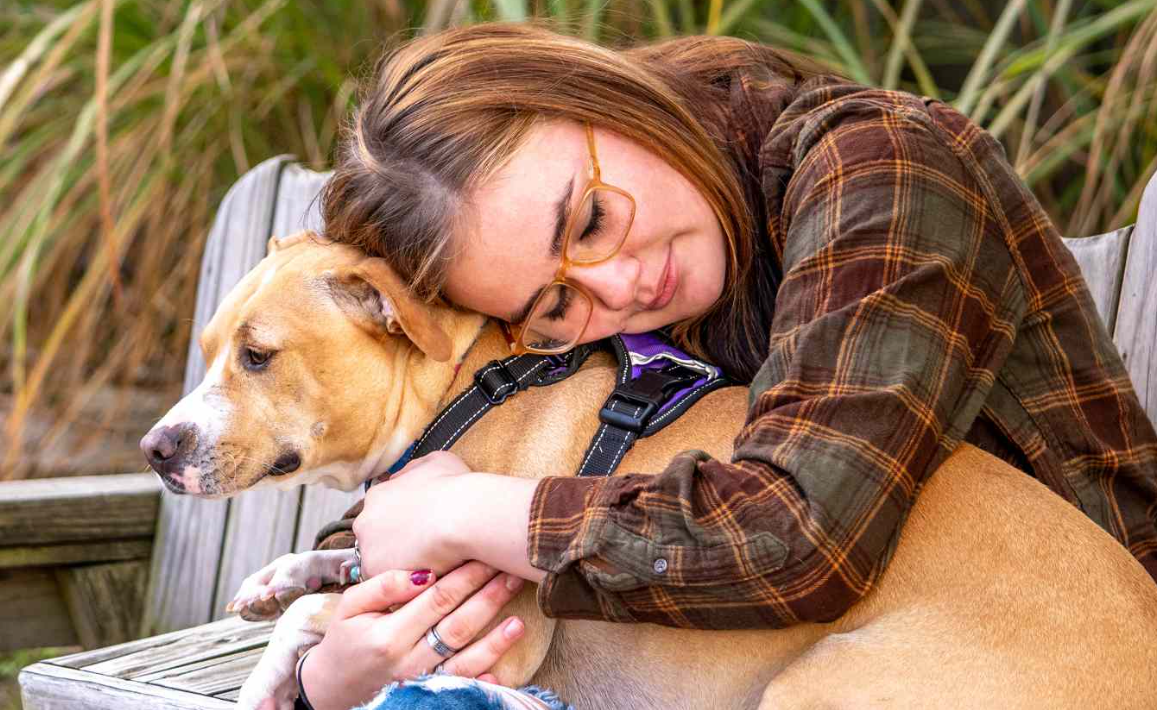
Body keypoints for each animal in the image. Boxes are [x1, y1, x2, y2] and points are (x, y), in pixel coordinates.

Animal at [142, 234, 1157, 710]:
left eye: (259, 356)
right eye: (209, 348)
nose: (155, 449)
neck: (459, 386)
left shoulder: (493, 629)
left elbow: (322, 617)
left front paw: (269, 674)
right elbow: (331, 575)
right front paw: (279, 575)